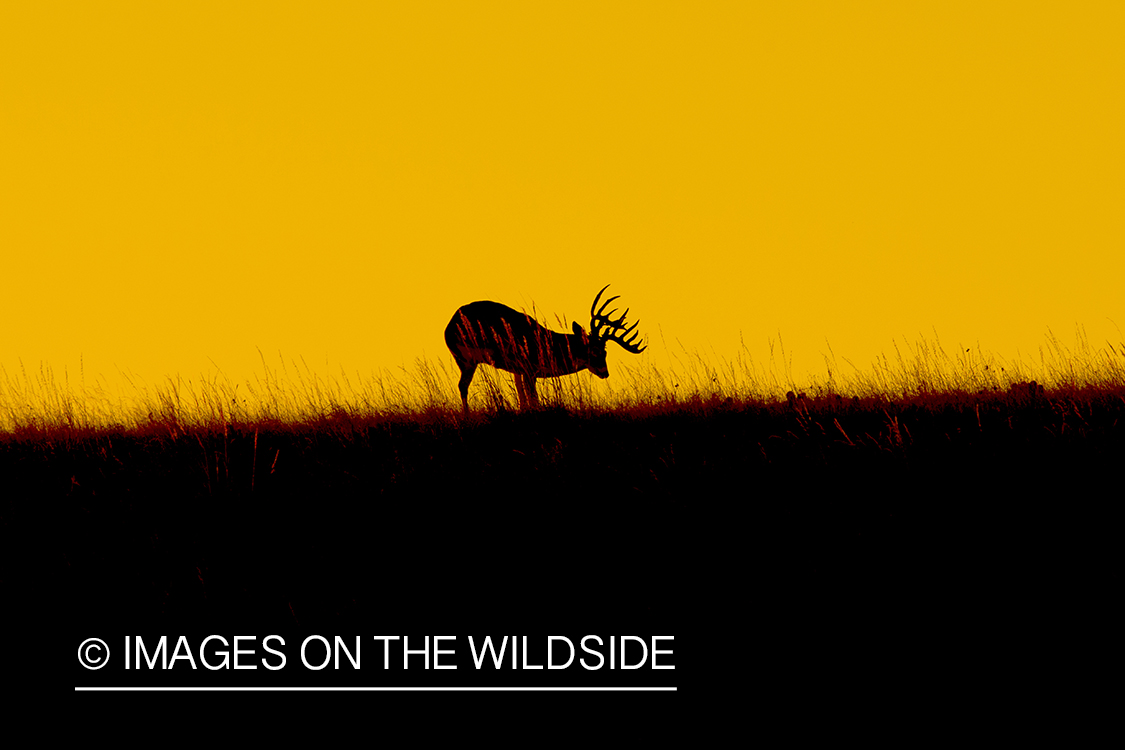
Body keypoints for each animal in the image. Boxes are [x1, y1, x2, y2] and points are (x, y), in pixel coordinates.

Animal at [443, 285, 648, 416]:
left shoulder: (519, 370)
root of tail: (449, 326)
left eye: (605, 353)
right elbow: (533, 398)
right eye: (594, 351)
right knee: (462, 386)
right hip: (467, 359)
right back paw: (467, 416)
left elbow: (522, 397)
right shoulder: (529, 368)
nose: (604, 372)